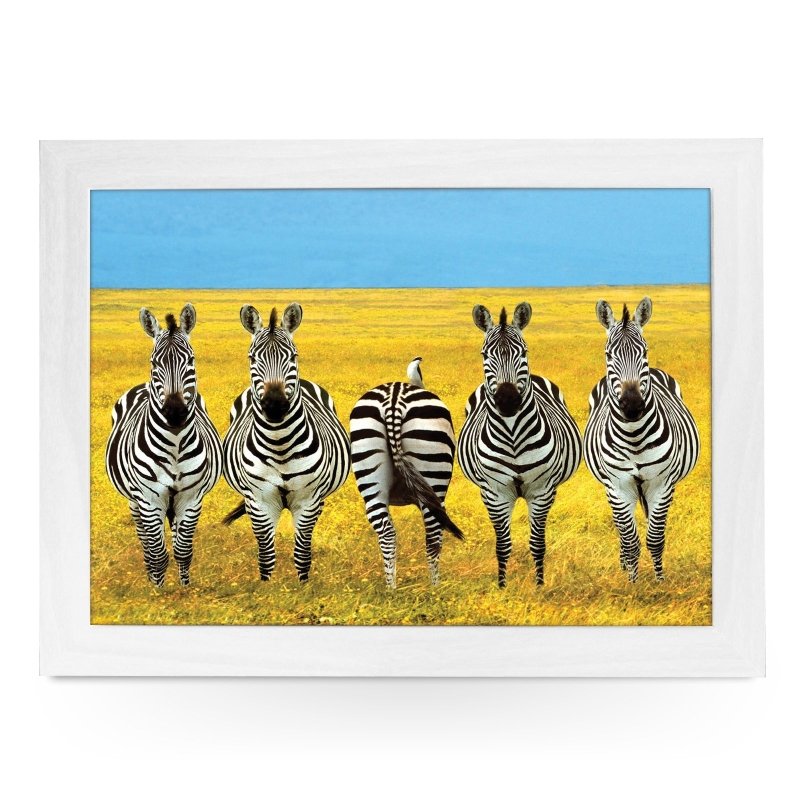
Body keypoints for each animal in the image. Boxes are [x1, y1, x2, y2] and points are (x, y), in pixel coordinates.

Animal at [105, 304, 223, 587]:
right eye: (154, 363)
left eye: (191, 360)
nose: (175, 412)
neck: (175, 445)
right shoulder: (149, 498)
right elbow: (157, 552)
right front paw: (157, 590)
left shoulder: (191, 497)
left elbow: (183, 549)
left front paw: (185, 588)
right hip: (135, 501)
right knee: (145, 541)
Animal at [222, 303, 351, 582]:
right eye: (252, 358)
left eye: (293, 356)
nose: (275, 405)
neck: (280, 445)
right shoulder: (259, 501)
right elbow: (266, 554)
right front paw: (266, 587)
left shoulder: (308, 500)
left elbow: (302, 553)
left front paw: (303, 587)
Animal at [349, 358, 464, 588]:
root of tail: (394, 397)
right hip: (434, 473)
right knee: (433, 535)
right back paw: (434, 589)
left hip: (368, 468)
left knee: (386, 533)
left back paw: (391, 589)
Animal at [457, 303, 582, 587]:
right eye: (484, 354)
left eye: (524, 352)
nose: (507, 400)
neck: (513, 436)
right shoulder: (494, 493)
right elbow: (502, 545)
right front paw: (502, 586)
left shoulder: (542, 491)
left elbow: (537, 543)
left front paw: (539, 585)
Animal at [584, 297, 700, 582]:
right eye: (608, 355)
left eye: (644, 351)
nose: (633, 405)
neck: (634, 436)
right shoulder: (618, 485)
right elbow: (630, 540)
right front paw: (632, 583)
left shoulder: (662, 484)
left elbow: (655, 538)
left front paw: (659, 582)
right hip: (611, 488)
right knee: (621, 530)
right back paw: (624, 565)